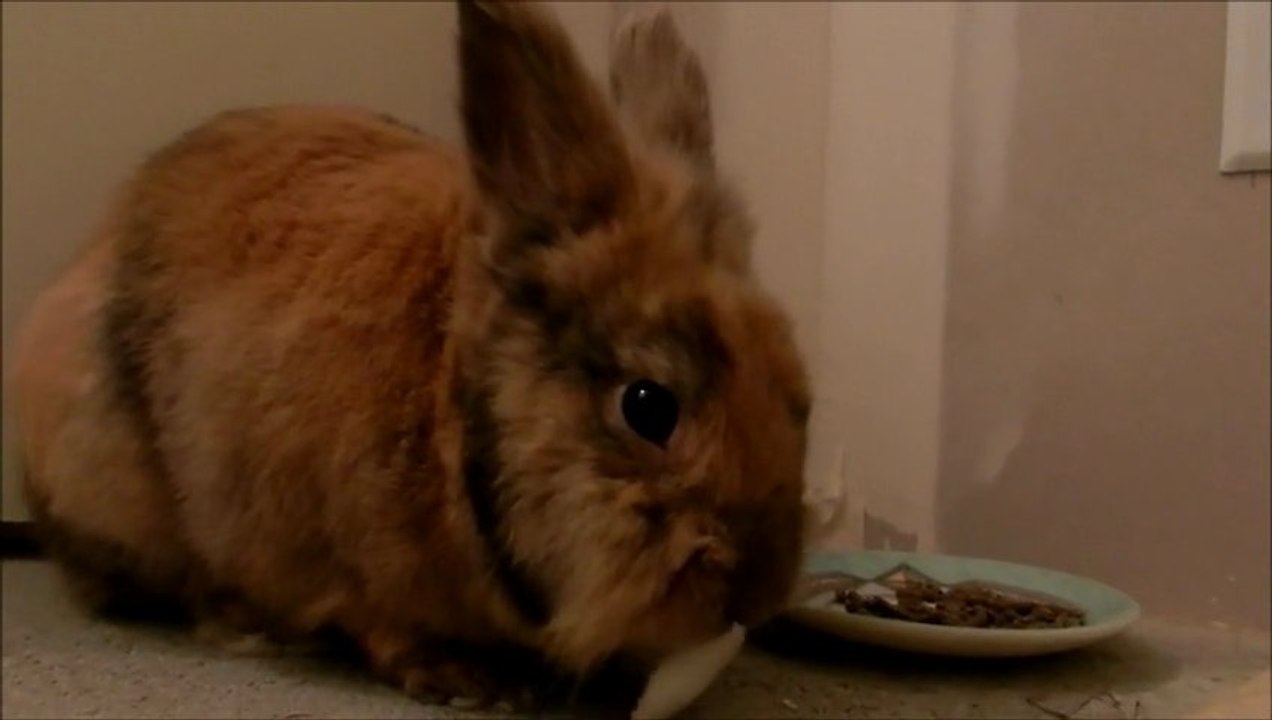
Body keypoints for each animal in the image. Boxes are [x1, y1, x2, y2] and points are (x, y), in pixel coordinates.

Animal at [8, 0, 811, 708]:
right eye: (648, 407)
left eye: (798, 392)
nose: (758, 591)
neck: (449, 400)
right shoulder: (329, 553)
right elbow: (376, 620)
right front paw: (467, 680)